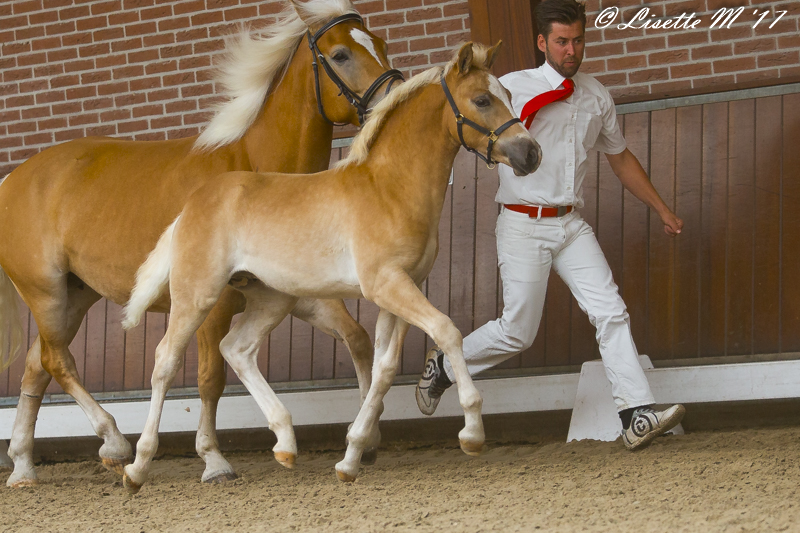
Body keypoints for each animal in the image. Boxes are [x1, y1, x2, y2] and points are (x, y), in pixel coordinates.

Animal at [0, 0, 400, 486]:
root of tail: (12, 180)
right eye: (340, 54)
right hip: (47, 294)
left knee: (37, 367)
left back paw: (23, 466)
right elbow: (210, 377)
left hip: (75, 296)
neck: (254, 172)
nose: (394, 97)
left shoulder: (300, 295)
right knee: (59, 362)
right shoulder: (215, 305)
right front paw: (213, 460)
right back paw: (114, 444)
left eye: (380, 43)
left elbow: (357, 338)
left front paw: (367, 441)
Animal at [120, 39, 544, 492]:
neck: (389, 188)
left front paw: (352, 457)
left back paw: (285, 443)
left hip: (272, 299)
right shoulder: (386, 284)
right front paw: (472, 433)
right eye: (482, 99)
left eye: (509, 95)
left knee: (236, 348)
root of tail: (191, 205)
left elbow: (384, 367)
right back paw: (138, 467)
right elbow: (447, 330)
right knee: (165, 362)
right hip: (197, 295)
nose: (531, 154)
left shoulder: (401, 288)